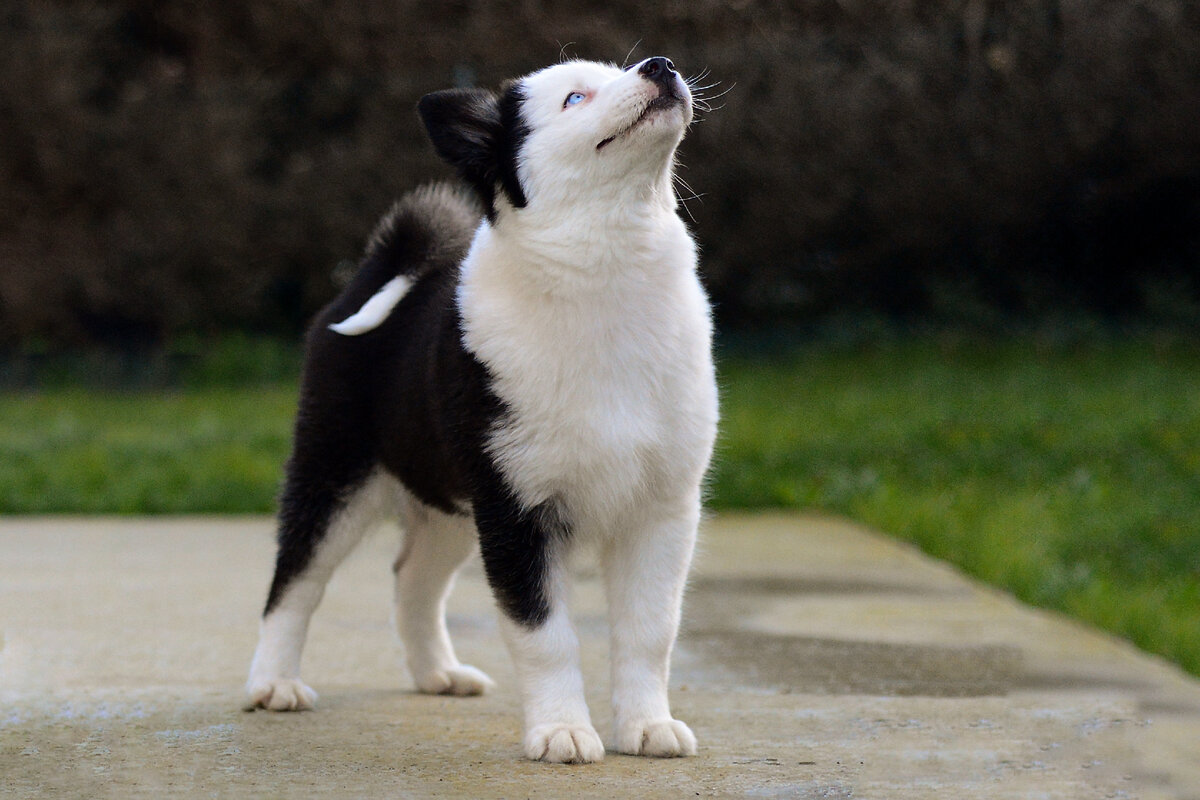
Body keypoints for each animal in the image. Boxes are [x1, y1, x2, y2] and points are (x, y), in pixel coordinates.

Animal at [242, 53, 710, 767]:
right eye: (575, 98)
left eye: (621, 69)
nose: (661, 66)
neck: (608, 269)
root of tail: (380, 271)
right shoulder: (517, 512)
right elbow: (545, 635)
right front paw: (562, 731)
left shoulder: (660, 509)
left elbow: (649, 630)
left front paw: (647, 725)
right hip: (335, 474)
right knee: (294, 582)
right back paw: (274, 683)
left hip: (449, 507)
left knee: (412, 579)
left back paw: (438, 673)